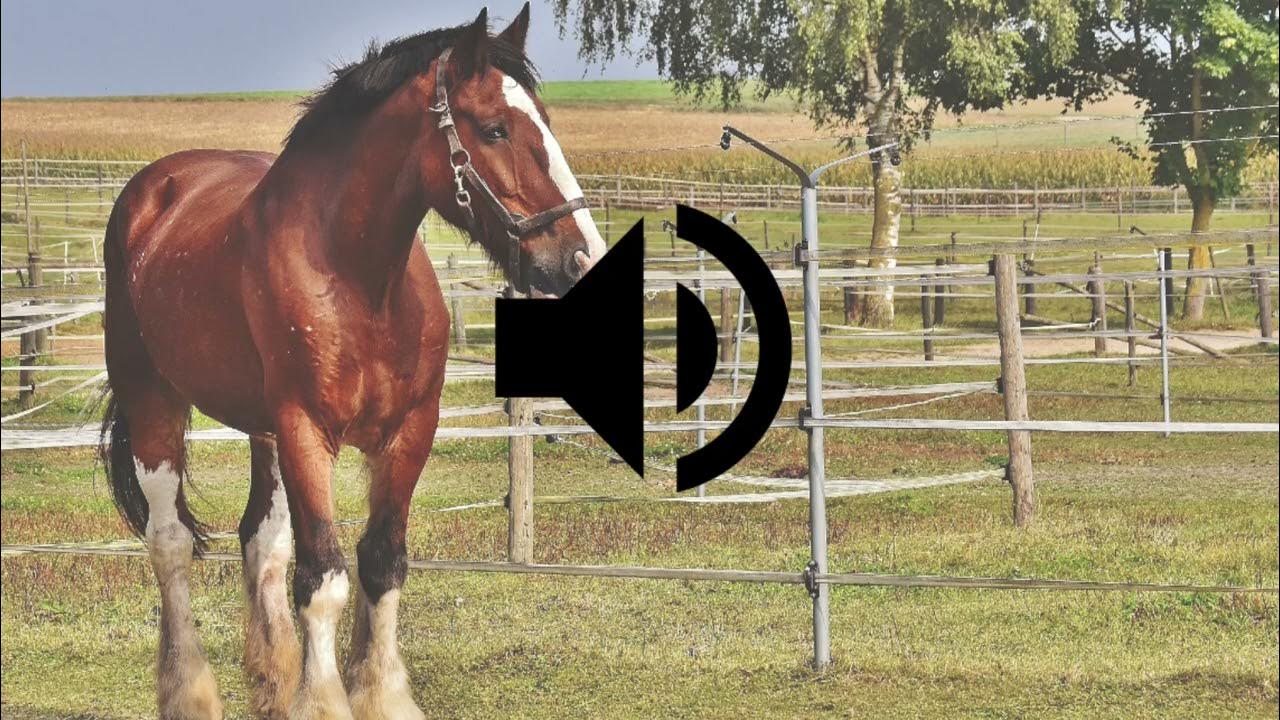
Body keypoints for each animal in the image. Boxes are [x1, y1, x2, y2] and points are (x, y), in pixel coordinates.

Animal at [98, 6, 605, 718]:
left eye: (548, 122)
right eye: (495, 129)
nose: (580, 258)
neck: (361, 282)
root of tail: (154, 190)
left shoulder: (408, 433)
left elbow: (380, 563)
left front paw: (377, 694)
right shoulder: (307, 433)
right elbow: (324, 578)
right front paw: (326, 699)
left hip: (262, 431)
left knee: (262, 541)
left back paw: (272, 686)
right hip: (154, 400)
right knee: (169, 543)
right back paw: (189, 692)